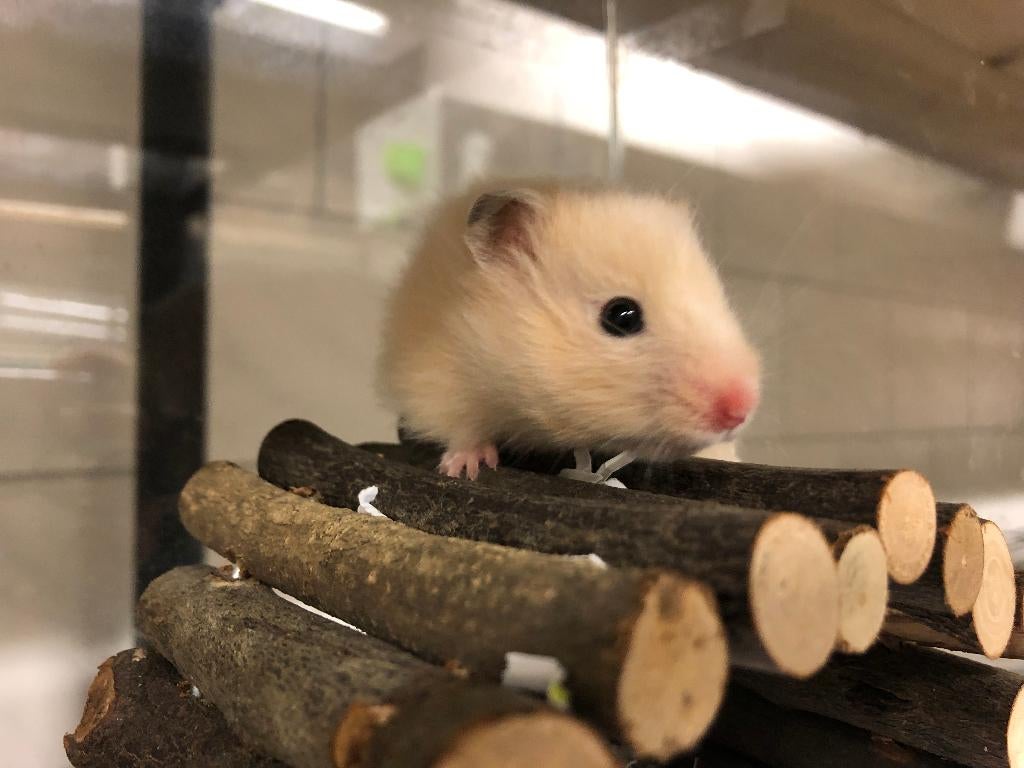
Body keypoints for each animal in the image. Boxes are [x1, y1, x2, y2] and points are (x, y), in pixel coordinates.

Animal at [377, 180, 760, 479]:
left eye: (721, 297)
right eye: (622, 316)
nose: (742, 408)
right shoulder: (440, 377)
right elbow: (461, 428)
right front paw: (468, 468)